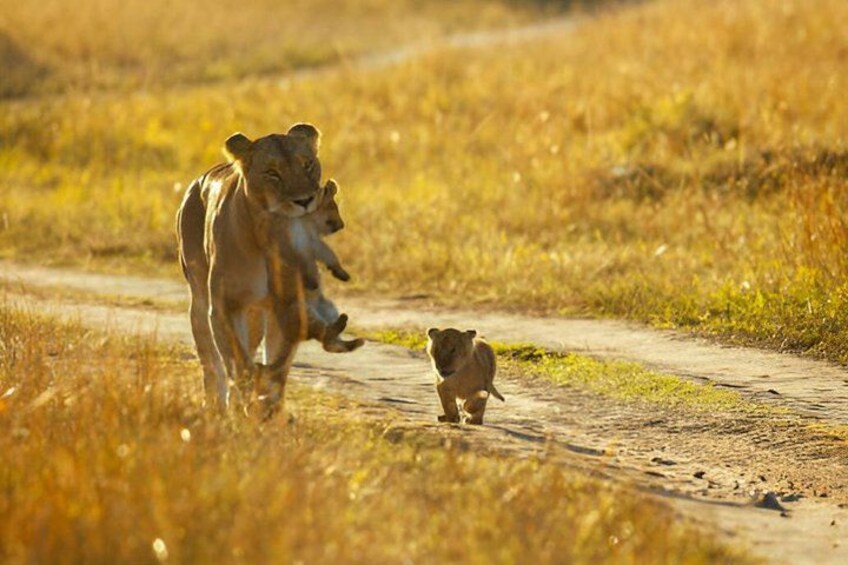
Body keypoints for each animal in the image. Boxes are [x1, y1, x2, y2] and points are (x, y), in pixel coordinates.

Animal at [176, 124, 357, 415]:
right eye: (272, 173)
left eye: (307, 165)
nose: (305, 201)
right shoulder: (224, 306)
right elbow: (238, 361)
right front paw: (247, 400)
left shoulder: (284, 308)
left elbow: (278, 365)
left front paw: (268, 408)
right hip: (200, 301)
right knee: (211, 360)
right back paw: (216, 405)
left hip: (257, 314)